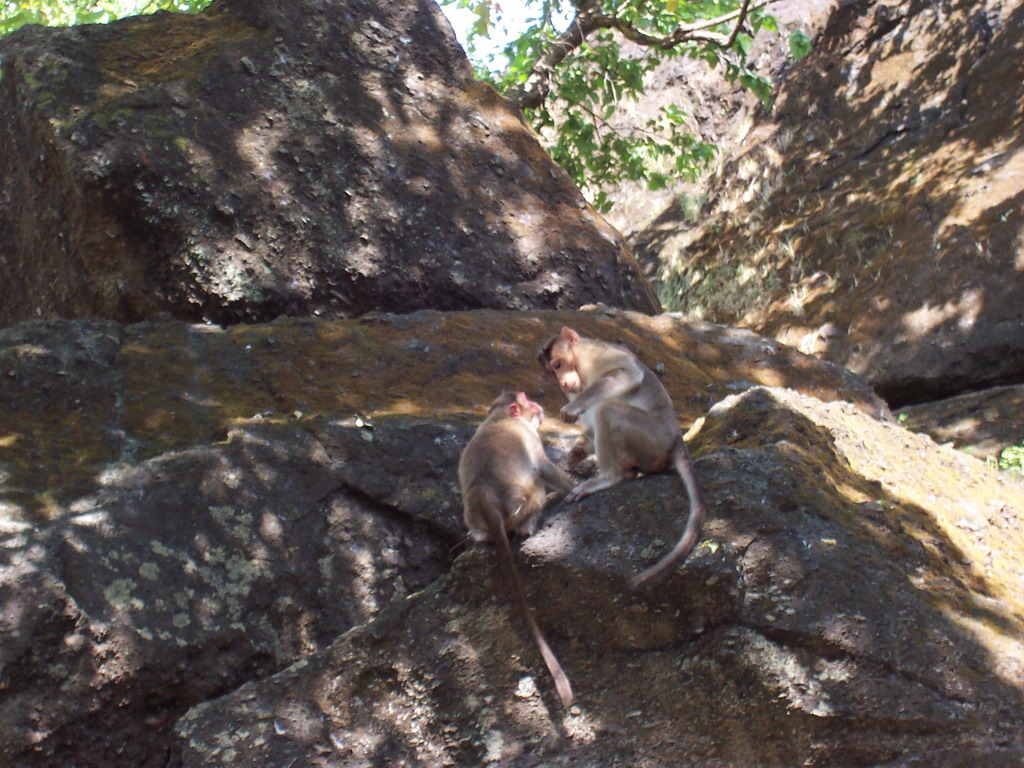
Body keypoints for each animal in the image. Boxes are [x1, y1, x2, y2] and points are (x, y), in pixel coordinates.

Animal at [458, 391, 577, 708]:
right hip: (524, 498)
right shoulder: (531, 438)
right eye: (526, 400)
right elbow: (544, 467)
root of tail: (486, 497)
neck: (499, 417)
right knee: (536, 482)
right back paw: (530, 522)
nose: (538, 404)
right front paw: (577, 485)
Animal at [536, 327, 704, 593]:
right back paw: (624, 472)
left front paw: (573, 408)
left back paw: (609, 477)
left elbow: (628, 374)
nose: (562, 383)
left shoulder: (598, 355)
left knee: (608, 408)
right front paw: (574, 455)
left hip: (652, 440)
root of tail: (677, 439)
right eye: (553, 372)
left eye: (559, 365)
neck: (582, 368)